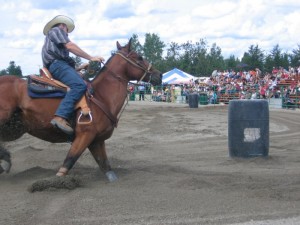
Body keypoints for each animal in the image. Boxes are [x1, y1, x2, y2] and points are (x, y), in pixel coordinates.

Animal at [0, 39, 162, 182]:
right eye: (139, 57)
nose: (159, 75)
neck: (101, 96)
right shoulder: (85, 135)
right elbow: (69, 161)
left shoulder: (97, 140)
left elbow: (105, 165)